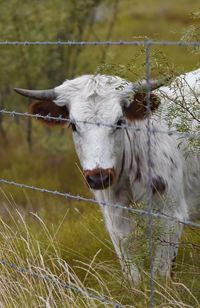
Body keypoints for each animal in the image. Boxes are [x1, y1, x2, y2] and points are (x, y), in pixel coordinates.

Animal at [14, 69, 200, 284]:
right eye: (73, 125)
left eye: (119, 121)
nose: (99, 178)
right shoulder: (115, 222)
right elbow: (132, 275)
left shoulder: (171, 217)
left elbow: (161, 273)